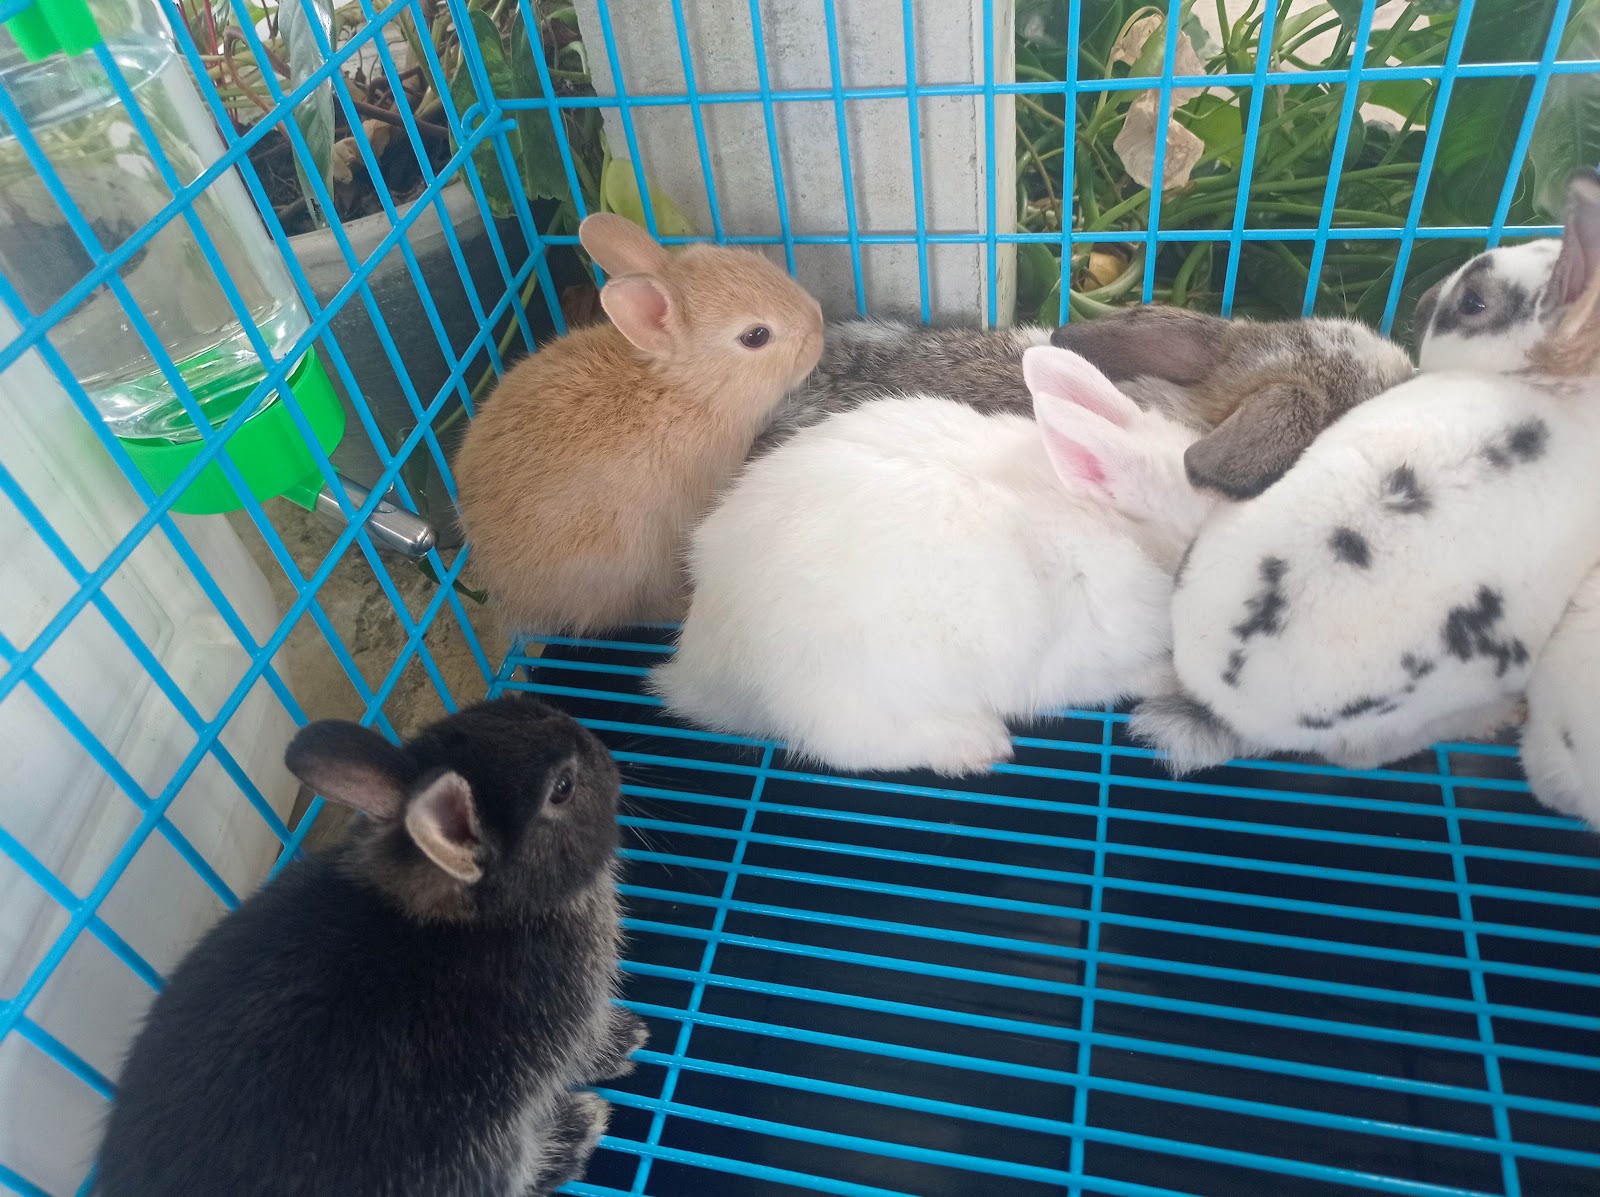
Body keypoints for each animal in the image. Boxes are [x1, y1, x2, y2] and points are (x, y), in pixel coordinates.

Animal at [94, 695, 647, 1197]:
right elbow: (585, 1049)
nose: (603, 751)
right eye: (563, 788)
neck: (475, 916)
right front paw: (626, 1041)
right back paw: (578, 1130)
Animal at [648, 346, 1218, 777]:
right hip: (852, 687)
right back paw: (974, 745)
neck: (1121, 535)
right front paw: (1169, 677)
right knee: (848, 745)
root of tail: (698, 670)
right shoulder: (1081, 662)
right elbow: (1124, 677)